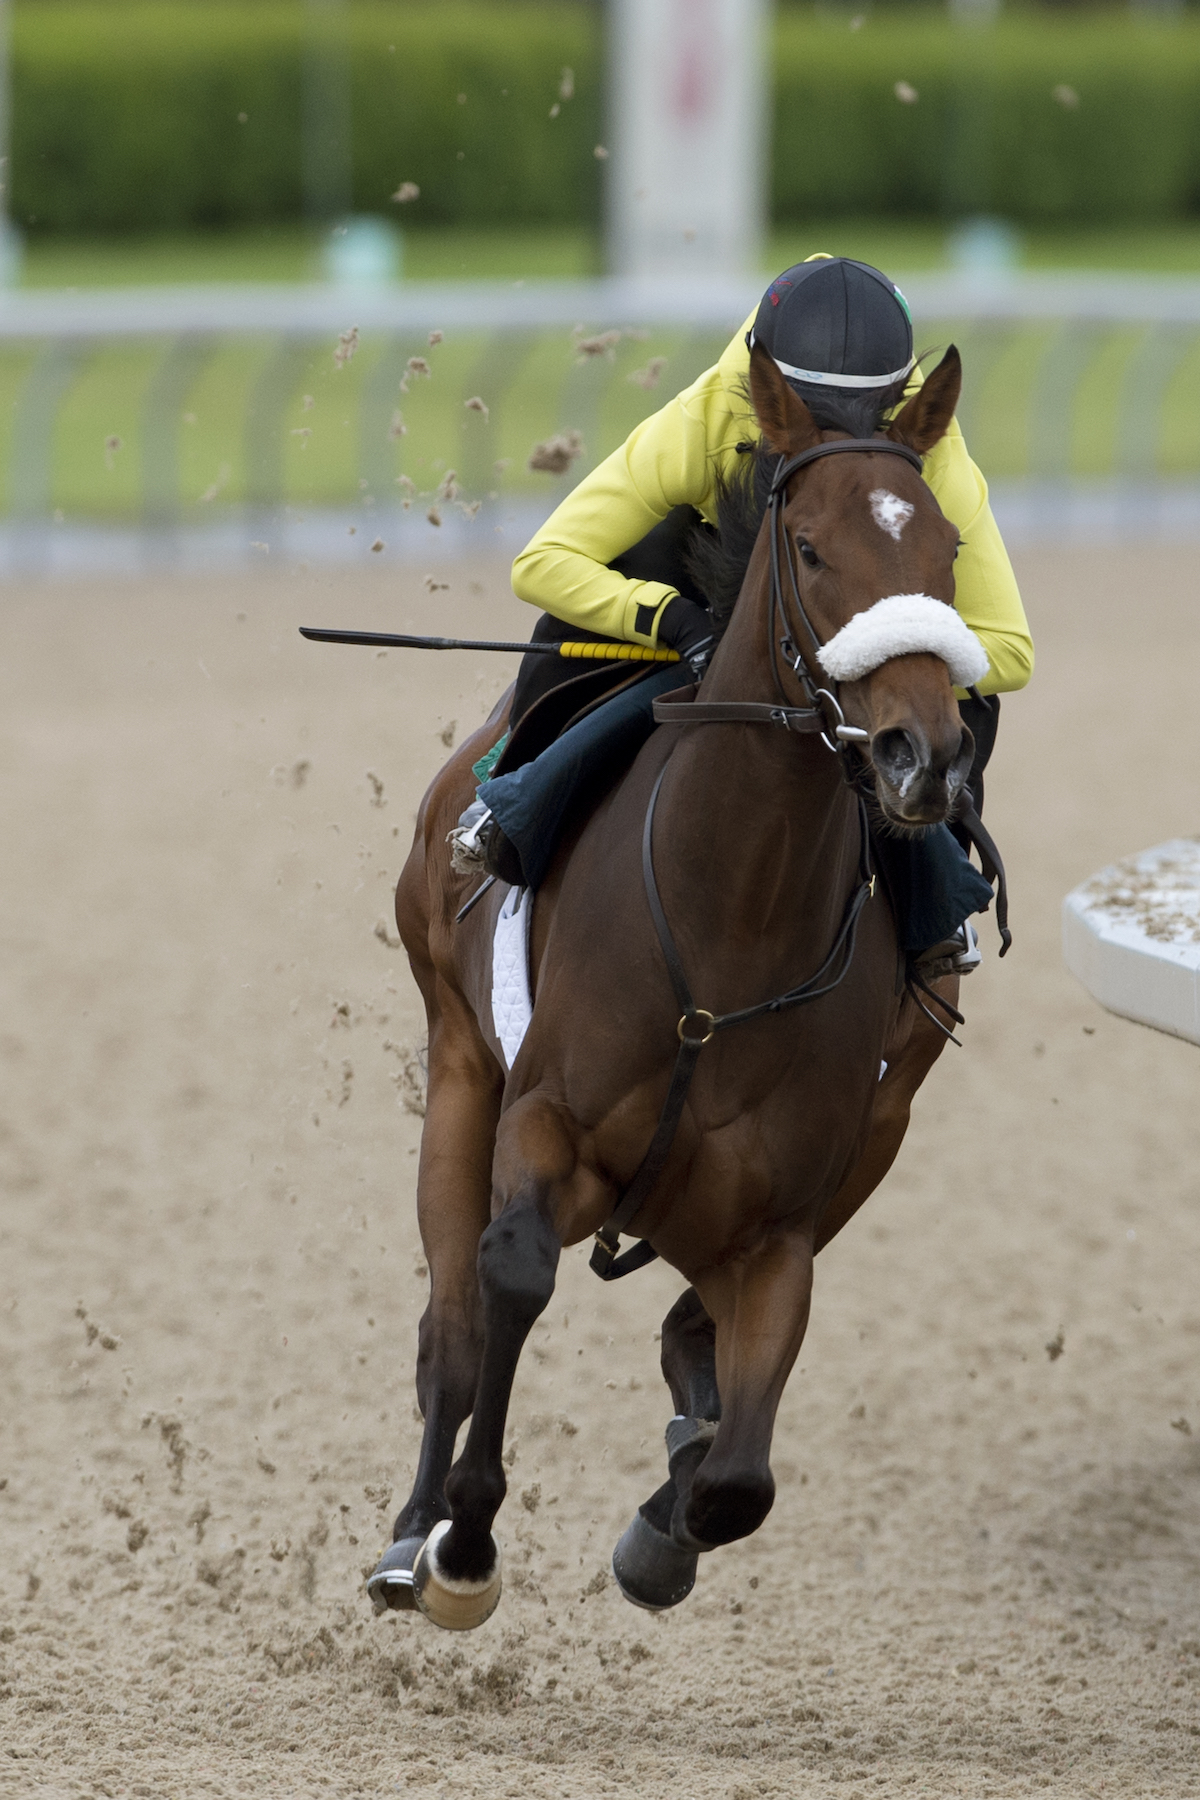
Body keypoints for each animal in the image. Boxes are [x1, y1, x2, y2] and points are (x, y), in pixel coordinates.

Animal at [372, 338, 985, 1634]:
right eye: (811, 548)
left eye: (947, 551)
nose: (925, 755)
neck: (731, 925)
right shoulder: (545, 1121)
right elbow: (510, 1273)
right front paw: (465, 1543)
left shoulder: (784, 1225)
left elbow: (738, 1479)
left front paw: (664, 1528)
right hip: (457, 1058)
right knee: (451, 1324)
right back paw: (411, 1536)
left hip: (879, 1130)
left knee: (686, 1337)